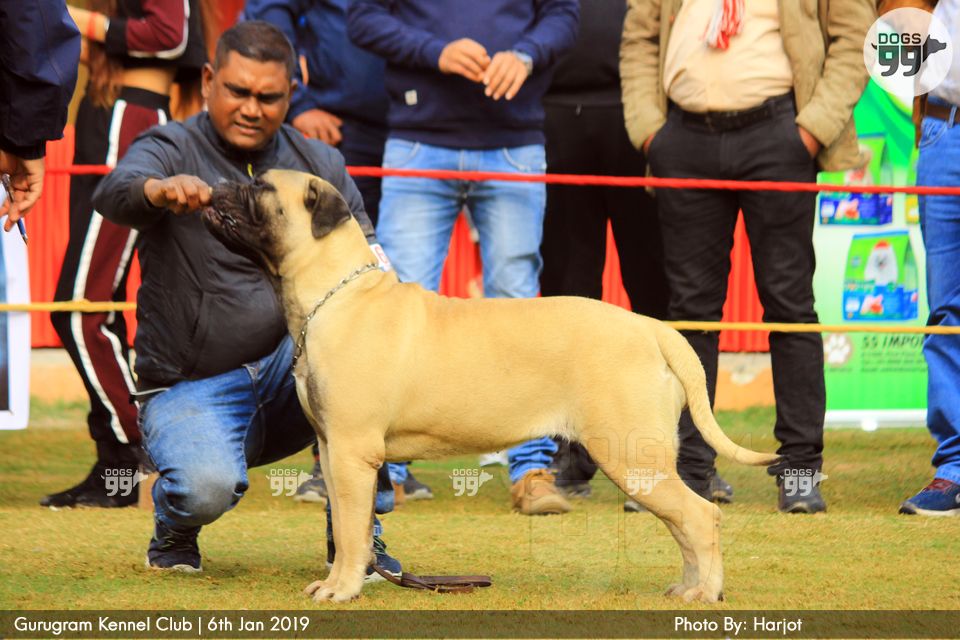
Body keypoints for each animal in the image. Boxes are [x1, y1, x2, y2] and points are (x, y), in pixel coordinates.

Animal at [202, 169, 780, 604]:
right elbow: (352, 528)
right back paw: (688, 588)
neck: (335, 294)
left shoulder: (349, 452)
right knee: (684, 523)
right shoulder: (334, 449)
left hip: (630, 455)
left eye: (260, 187)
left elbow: (347, 531)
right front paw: (344, 579)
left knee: (700, 516)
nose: (215, 184)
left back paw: (705, 593)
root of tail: (652, 327)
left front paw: (340, 590)